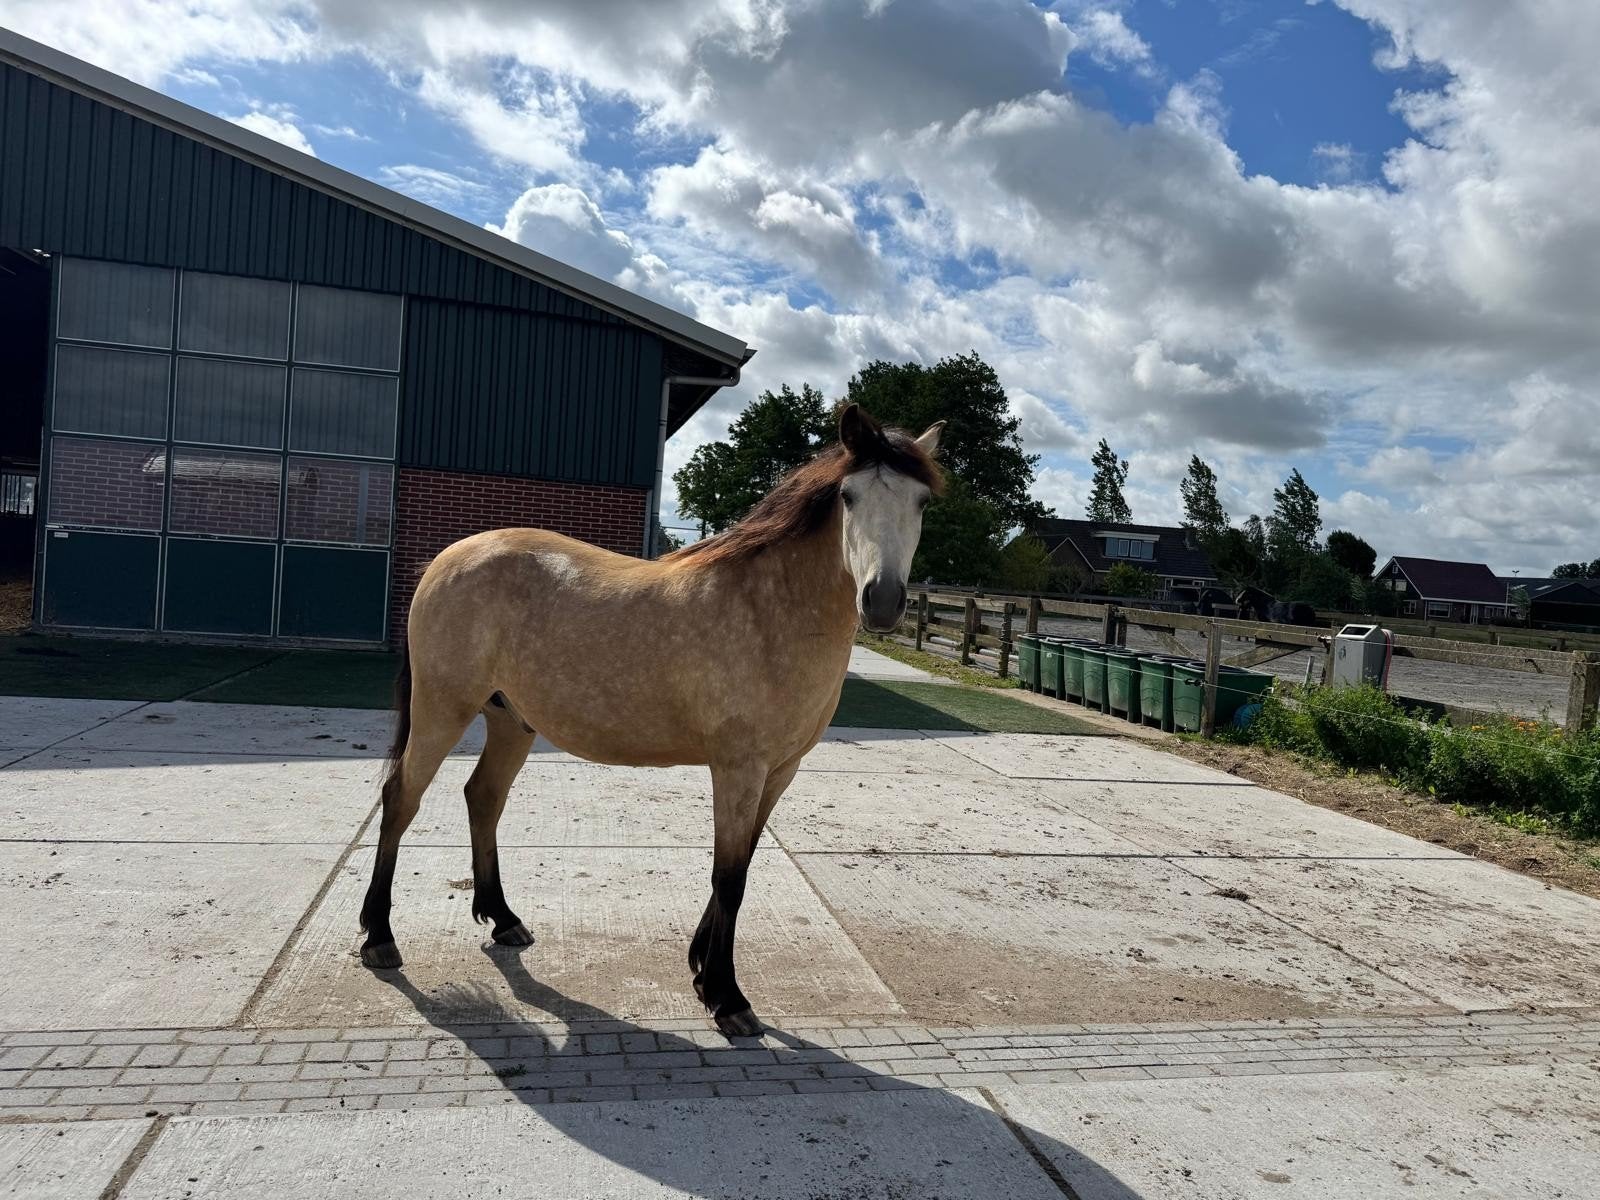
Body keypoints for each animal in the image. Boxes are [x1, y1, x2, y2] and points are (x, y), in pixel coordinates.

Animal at [359, 404, 945, 1037]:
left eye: (922, 502)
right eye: (849, 496)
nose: (882, 601)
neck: (769, 613)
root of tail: (447, 558)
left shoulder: (779, 771)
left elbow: (739, 866)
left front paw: (701, 972)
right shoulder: (738, 768)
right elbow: (729, 877)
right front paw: (727, 998)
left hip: (511, 722)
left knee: (483, 798)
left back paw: (504, 919)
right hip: (442, 709)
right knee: (402, 799)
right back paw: (379, 937)